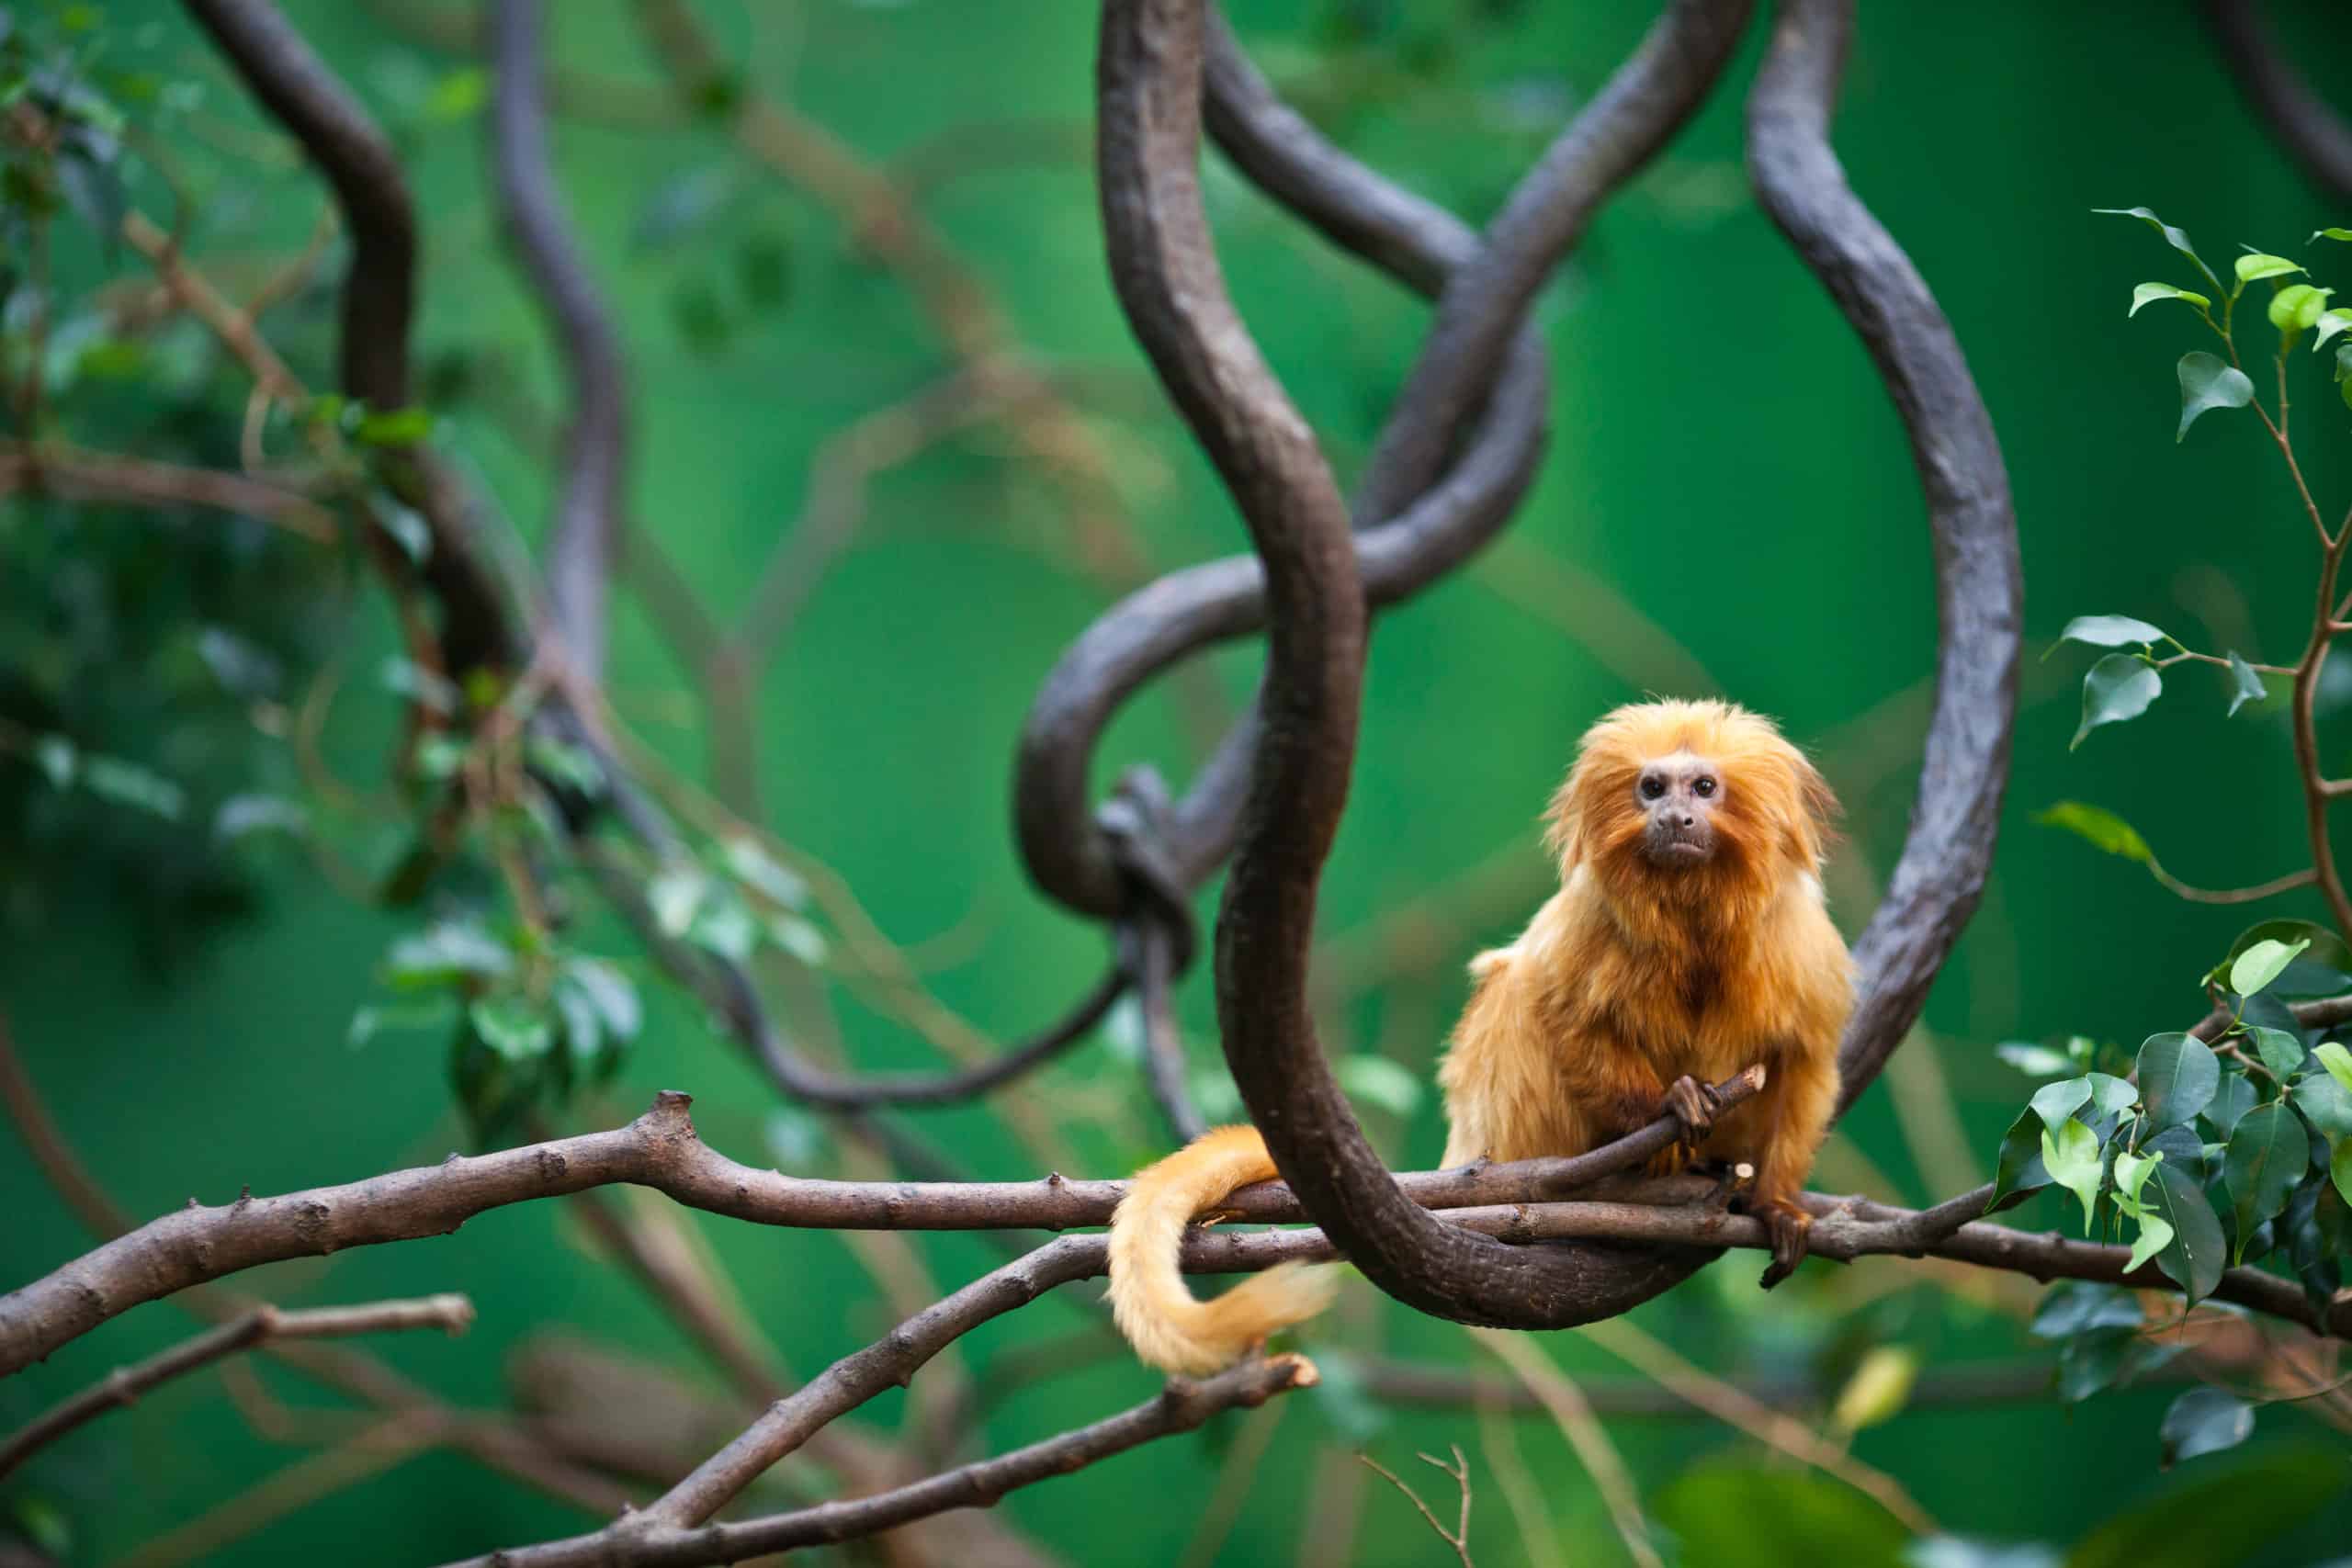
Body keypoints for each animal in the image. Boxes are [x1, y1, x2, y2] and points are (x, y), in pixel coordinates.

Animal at [1106, 699, 1855, 1376]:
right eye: (1651, 788)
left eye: (1702, 787)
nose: (1673, 817)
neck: (1696, 920)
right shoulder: (1591, 918)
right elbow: (1560, 1010)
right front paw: (1669, 1106)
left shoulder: (1800, 945)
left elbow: (1809, 1062)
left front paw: (1778, 1204)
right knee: (1514, 992)